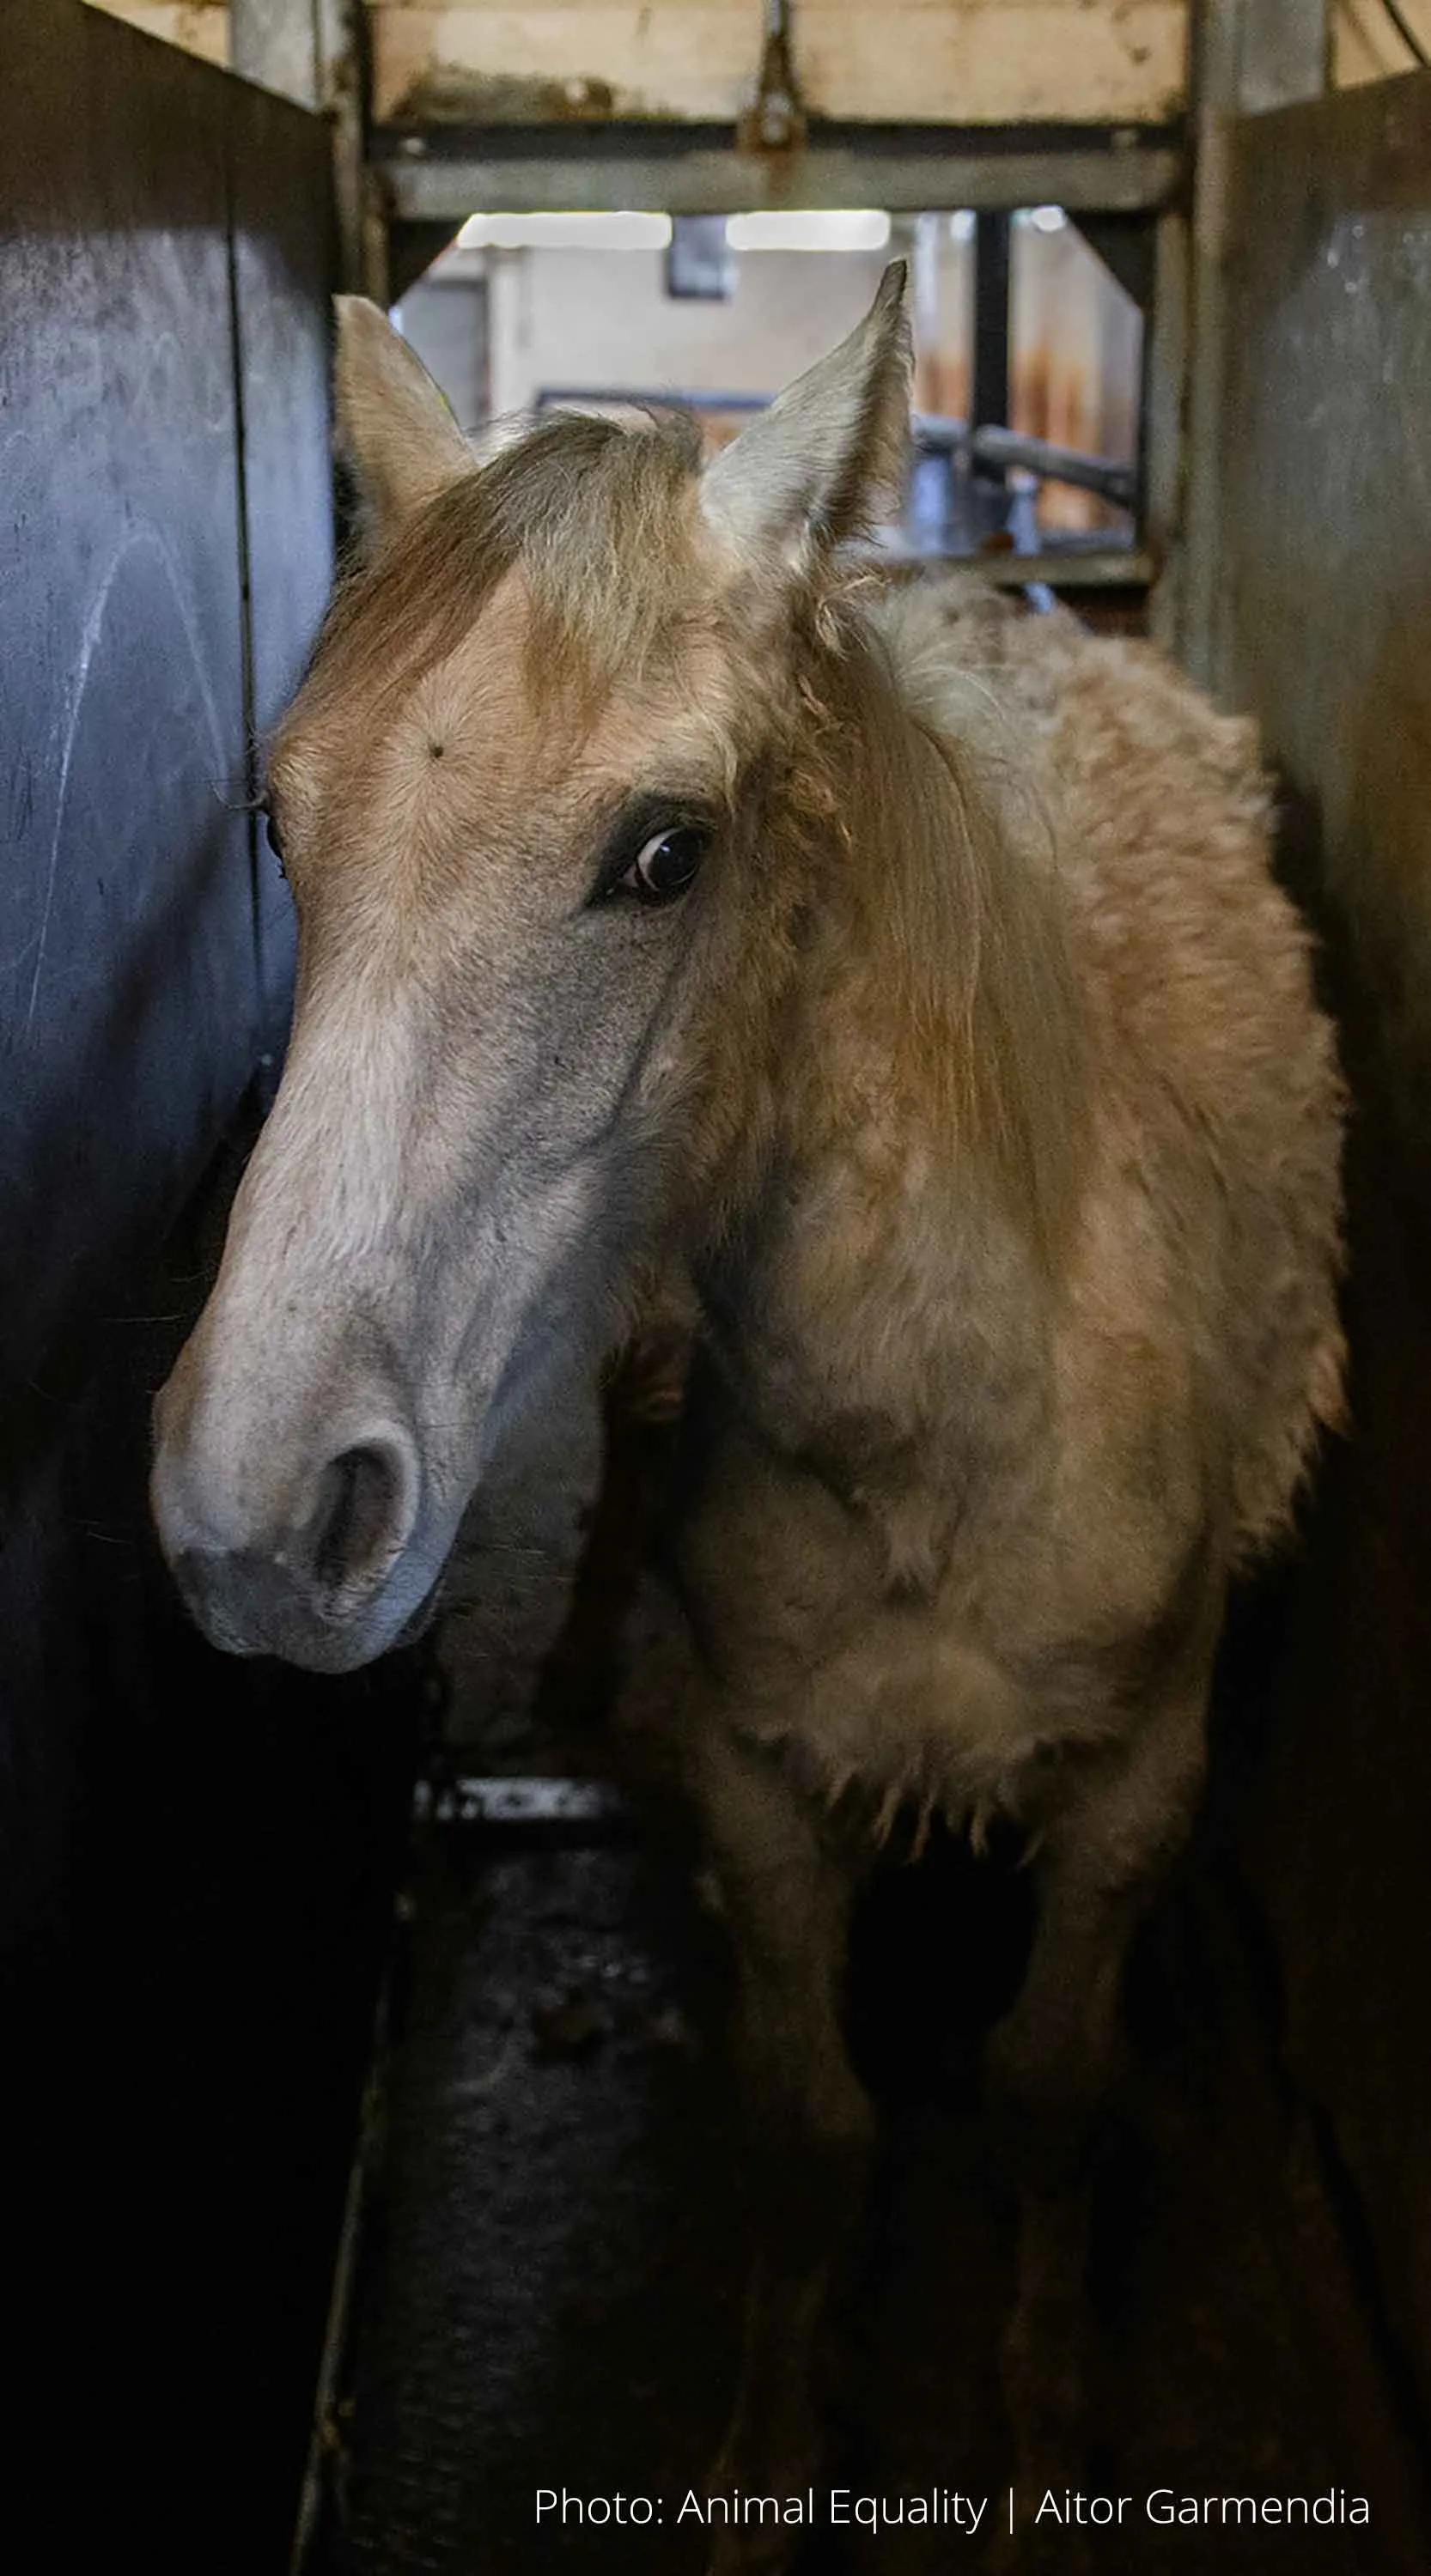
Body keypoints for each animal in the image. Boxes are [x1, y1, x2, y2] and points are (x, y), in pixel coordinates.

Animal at [151, 265, 1345, 2565]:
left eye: (662, 853)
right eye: (282, 821)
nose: (255, 1518)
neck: (950, 1440)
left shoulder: (1136, 1787)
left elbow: (1051, 2097)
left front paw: (1042, 2439)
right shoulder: (763, 1786)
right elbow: (808, 2136)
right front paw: (769, 2469)